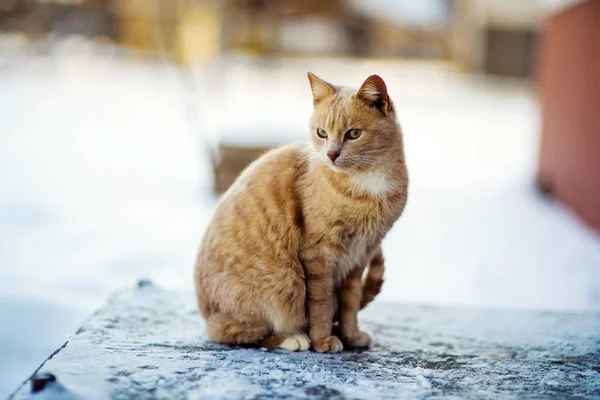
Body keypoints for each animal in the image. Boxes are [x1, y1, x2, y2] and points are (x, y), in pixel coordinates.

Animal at [195, 72, 410, 354]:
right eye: (322, 133)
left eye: (353, 134)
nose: (331, 154)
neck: (367, 184)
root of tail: (205, 310)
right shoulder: (319, 254)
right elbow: (322, 304)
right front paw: (323, 340)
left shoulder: (359, 256)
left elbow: (350, 303)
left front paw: (351, 335)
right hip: (285, 282)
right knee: (231, 332)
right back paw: (293, 338)